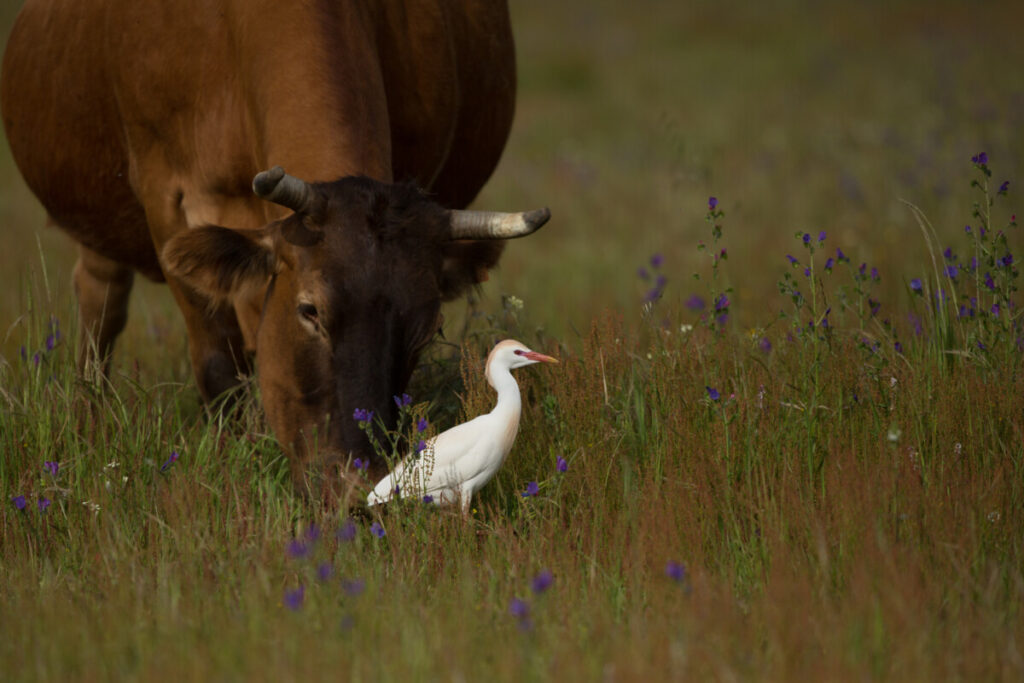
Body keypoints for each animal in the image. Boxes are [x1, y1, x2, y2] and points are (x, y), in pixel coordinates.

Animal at [2, 0, 552, 493]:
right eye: (310, 310)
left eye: (428, 327)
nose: (360, 480)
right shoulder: (164, 198)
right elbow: (217, 366)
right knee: (101, 310)